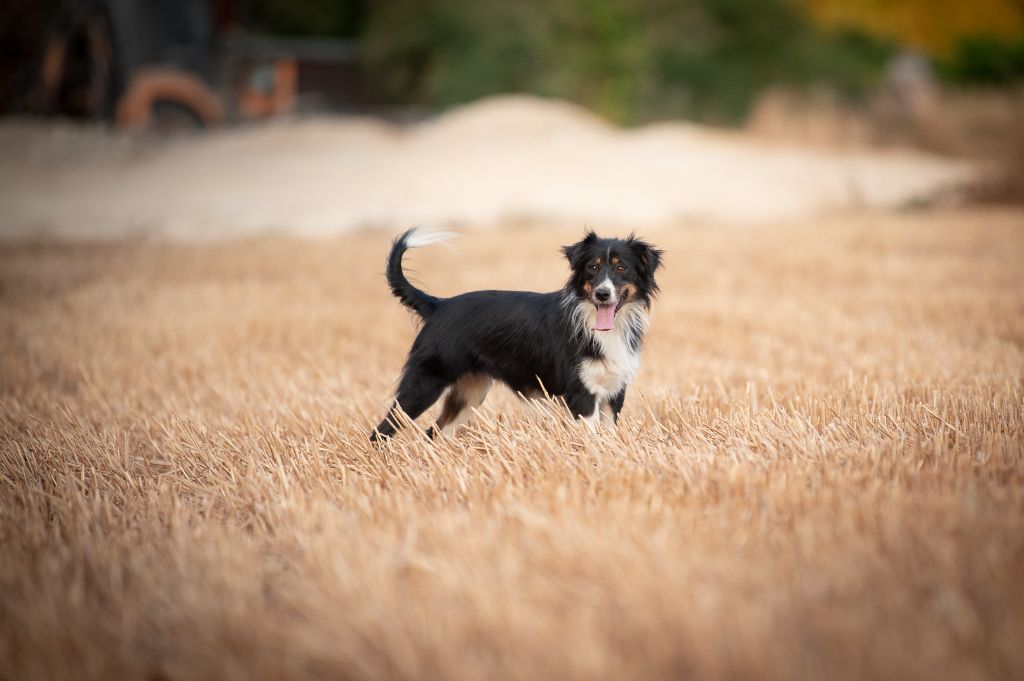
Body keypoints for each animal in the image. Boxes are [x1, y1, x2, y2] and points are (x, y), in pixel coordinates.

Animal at [370, 227, 663, 440]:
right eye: (592, 267)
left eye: (622, 267)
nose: (602, 294)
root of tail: (438, 305)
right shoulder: (581, 394)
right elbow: (590, 439)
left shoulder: (614, 393)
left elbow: (609, 438)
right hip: (424, 384)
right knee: (381, 431)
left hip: (470, 392)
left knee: (434, 433)